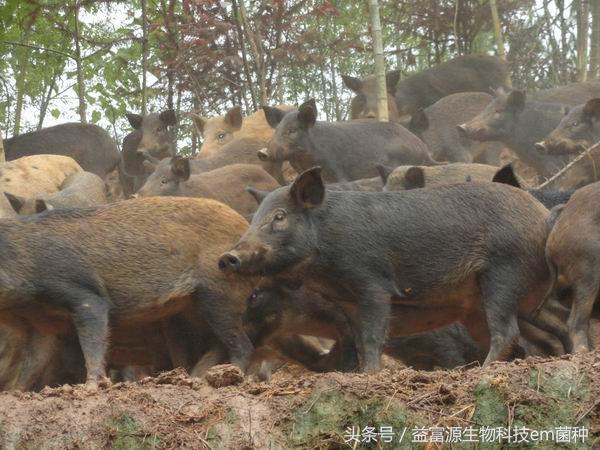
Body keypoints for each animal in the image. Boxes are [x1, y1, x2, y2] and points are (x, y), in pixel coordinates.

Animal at [0, 197, 255, 386]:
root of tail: (243, 225)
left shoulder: (85, 294)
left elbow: (93, 340)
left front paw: (92, 386)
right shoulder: (42, 324)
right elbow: (33, 362)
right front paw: (15, 393)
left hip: (219, 292)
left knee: (244, 345)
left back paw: (227, 377)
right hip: (193, 308)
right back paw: (198, 377)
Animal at [218, 167, 552, 370]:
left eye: (279, 217)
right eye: (253, 218)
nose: (227, 257)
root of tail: (543, 216)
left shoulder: (372, 282)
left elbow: (373, 335)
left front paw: (369, 374)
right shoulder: (347, 302)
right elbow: (358, 341)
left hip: (504, 271)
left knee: (507, 332)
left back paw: (483, 370)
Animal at [260, 99, 434, 182]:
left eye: (292, 130)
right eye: (276, 130)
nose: (263, 153)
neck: (305, 161)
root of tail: (424, 148)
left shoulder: (338, 170)